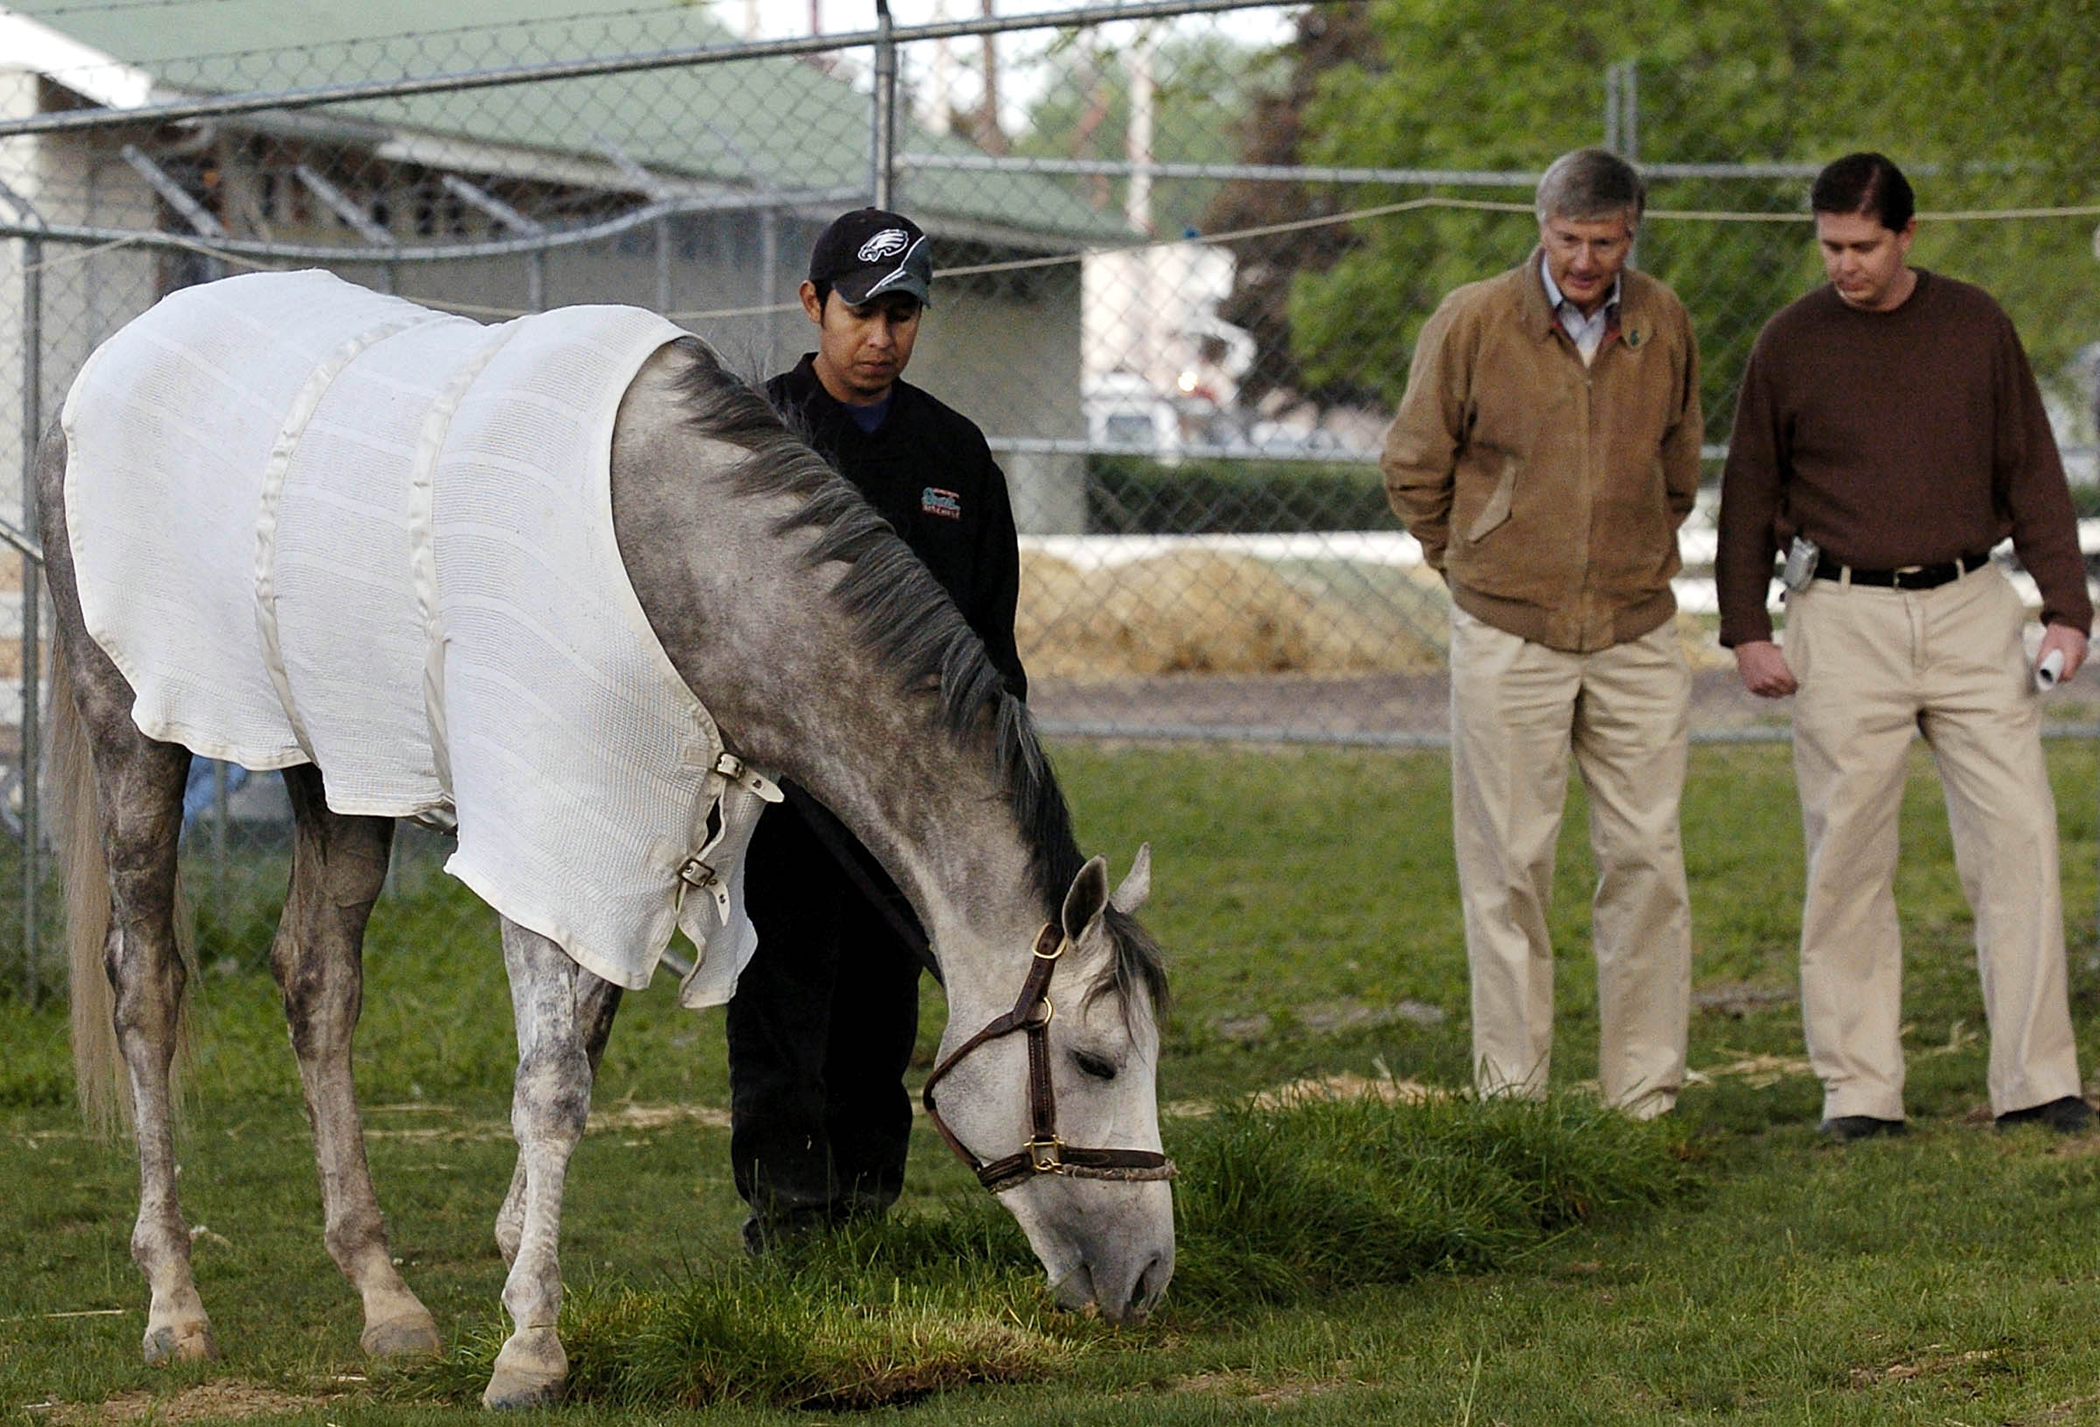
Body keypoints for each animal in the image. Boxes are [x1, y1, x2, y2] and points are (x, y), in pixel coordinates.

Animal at [40, 272, 1174, 1408]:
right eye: (1097, 1061)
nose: (1149, 1274)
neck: (680, 560)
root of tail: (97, 374)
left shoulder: (637, 843)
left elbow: (580, 1041)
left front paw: (513, 1255)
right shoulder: (544, 835)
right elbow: (551, 1085)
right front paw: (531, 1347)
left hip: (341, 766)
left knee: (317, 982)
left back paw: (384, 1295)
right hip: (133, 730)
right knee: (146, 985)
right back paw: (174, 1301)